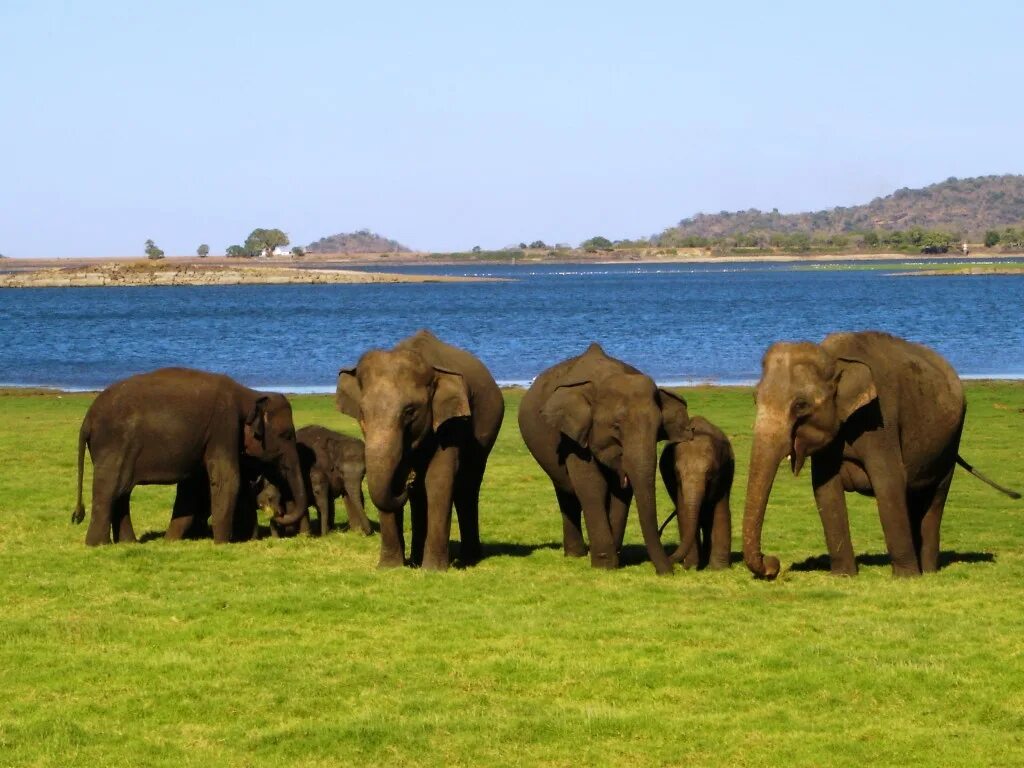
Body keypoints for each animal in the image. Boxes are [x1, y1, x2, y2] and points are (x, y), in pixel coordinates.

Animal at [72, 368, 305, 544]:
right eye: (286, 435)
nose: (278, 515)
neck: (249, 394)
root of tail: (87, 419)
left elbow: (192, 486)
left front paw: (170, 540)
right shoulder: (223, 426)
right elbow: (227, 479)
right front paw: (222, 543)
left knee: (122, 493)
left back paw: (128, 543)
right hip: (114, 445)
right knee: (109, 490)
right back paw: (98, 544)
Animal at [335, 331, 503, 573]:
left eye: (409, 411)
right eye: (362, 412)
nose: (408, 479)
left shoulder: (451, 423)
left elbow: (438, 479)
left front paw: (433, 570)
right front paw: (389, 568)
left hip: (488, 428)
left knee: (467, 486)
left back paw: (467, 559)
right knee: (422, 496)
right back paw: (415, 559)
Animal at [520, 346, 688, 573]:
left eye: (658, 429)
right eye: (616, 426)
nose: (668, 573)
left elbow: (621, 493)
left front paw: (614, 560)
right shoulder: (572, 437)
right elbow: (592, 486)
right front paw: (604, 565)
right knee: (566, 491)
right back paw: (575, 555)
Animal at [659, 415, 733, 573]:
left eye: (709, 474)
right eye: (677, 473)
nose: (669, 560)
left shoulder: (725, 472)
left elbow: (721, 511)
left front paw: (719, 569)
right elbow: (683, 512)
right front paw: (691, 567)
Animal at [741, 333, 1019, 581]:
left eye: (800, 405)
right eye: (755, 398)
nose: (773, 564)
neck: (835, 357)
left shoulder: (880, 420)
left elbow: (888, 482)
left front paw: (906, 578)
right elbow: (825, 490)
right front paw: (843, 575)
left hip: (950, 441)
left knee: (936, 496)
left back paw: (928, 571)